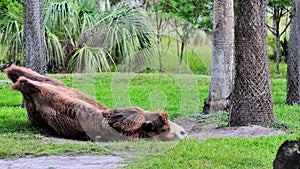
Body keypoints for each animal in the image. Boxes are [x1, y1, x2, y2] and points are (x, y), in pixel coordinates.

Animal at [4, 65, 188, 141]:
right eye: (166, 128)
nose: (183, 132)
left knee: (30, 82)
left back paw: (18, 77)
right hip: (60, 86)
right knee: (35, 77)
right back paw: (14, 71)